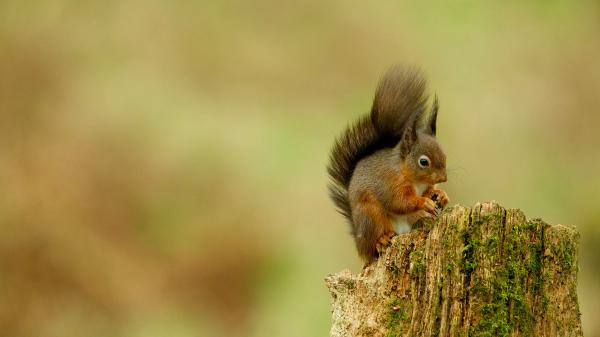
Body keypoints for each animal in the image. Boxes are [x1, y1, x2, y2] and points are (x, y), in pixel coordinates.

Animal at [328, 65, 450, 264]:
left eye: (444, 154)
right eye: (423, 162)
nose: (443, 178)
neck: (407, 173)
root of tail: (359, 243)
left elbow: (427, 192)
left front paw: (440, 195)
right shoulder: (389, 183)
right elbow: (398, 202)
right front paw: (424, 202)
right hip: (370, 216)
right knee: (374, 241)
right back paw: (382, 240)